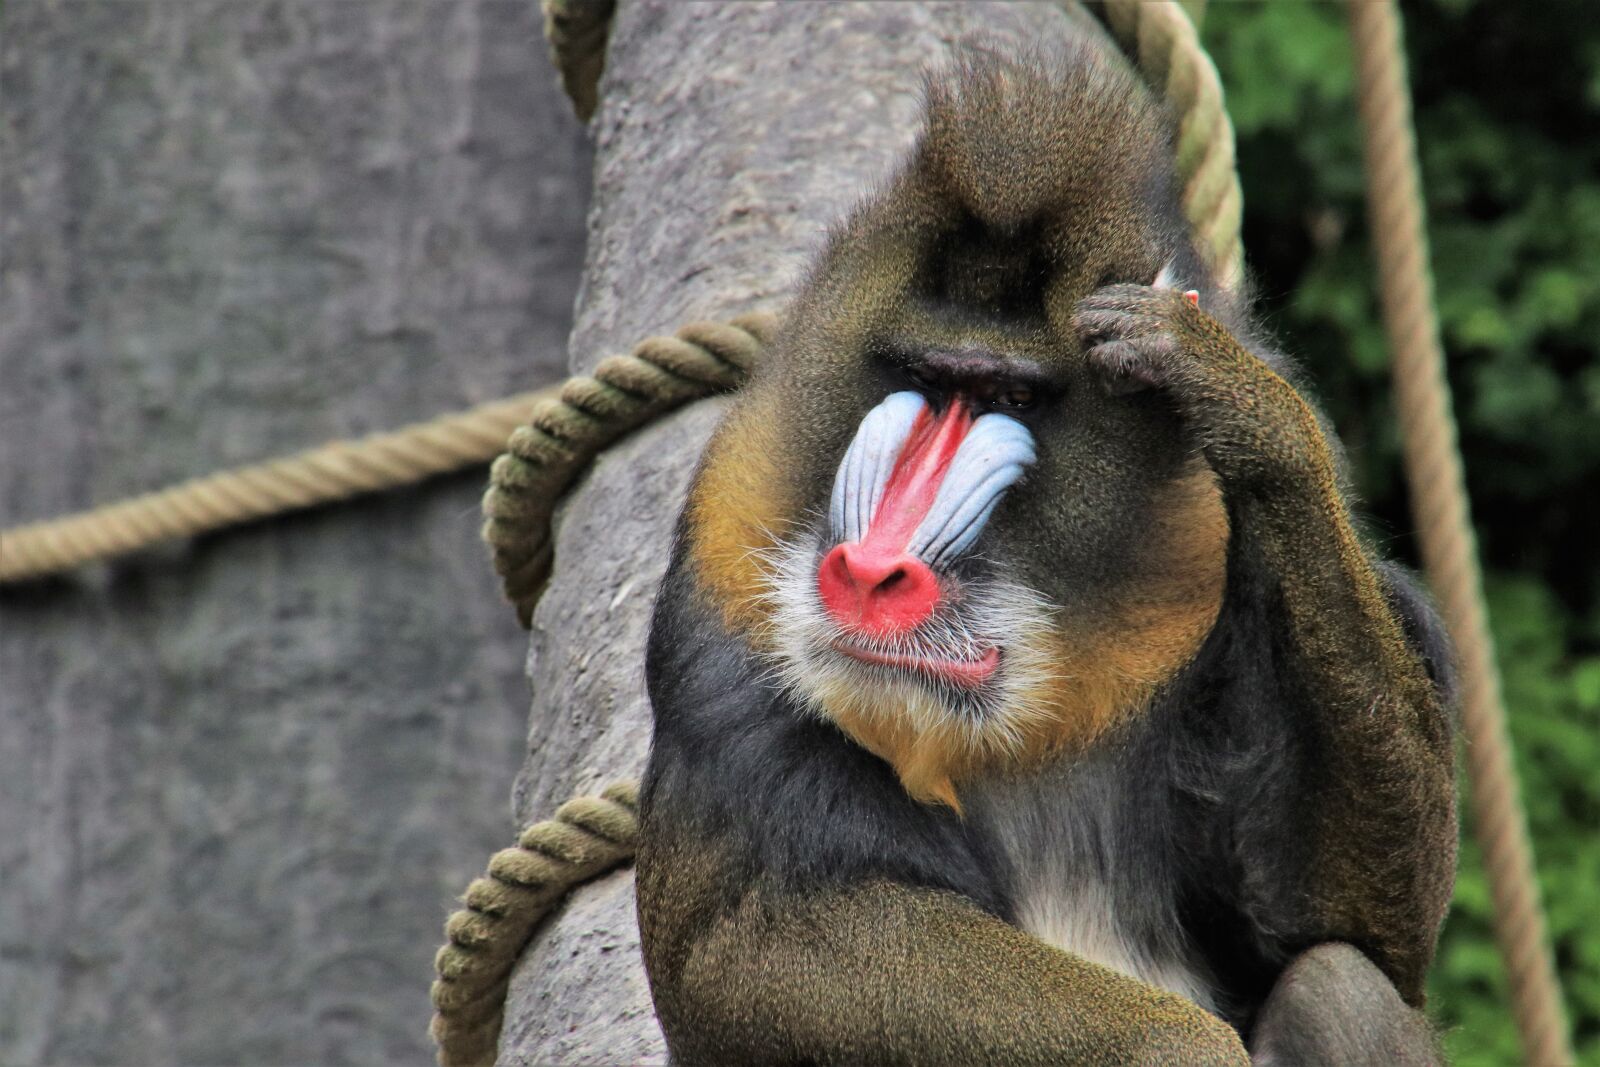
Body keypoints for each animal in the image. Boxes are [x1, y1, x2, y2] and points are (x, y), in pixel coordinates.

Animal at [636, 41, 1457, 1067]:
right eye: (925, 378)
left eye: (1014, 399)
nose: (868, 574)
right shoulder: (721, 580)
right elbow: (750, 933)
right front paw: (1180, 1047)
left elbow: (1339, 922)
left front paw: (1236, 394)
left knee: (1336, 984)